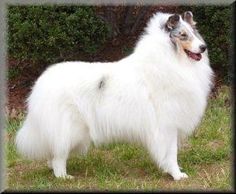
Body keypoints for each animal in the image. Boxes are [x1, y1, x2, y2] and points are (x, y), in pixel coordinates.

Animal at [15, 11, 213, 180]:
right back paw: (63, 177)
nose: (203, 47)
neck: (171, 59)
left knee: (54, 151)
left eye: (194, 33)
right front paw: (177, 175)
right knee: (59, 155)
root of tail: (41, 83)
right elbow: (171, 153)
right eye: (183, 35)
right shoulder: (167, 125)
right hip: (69, 129)